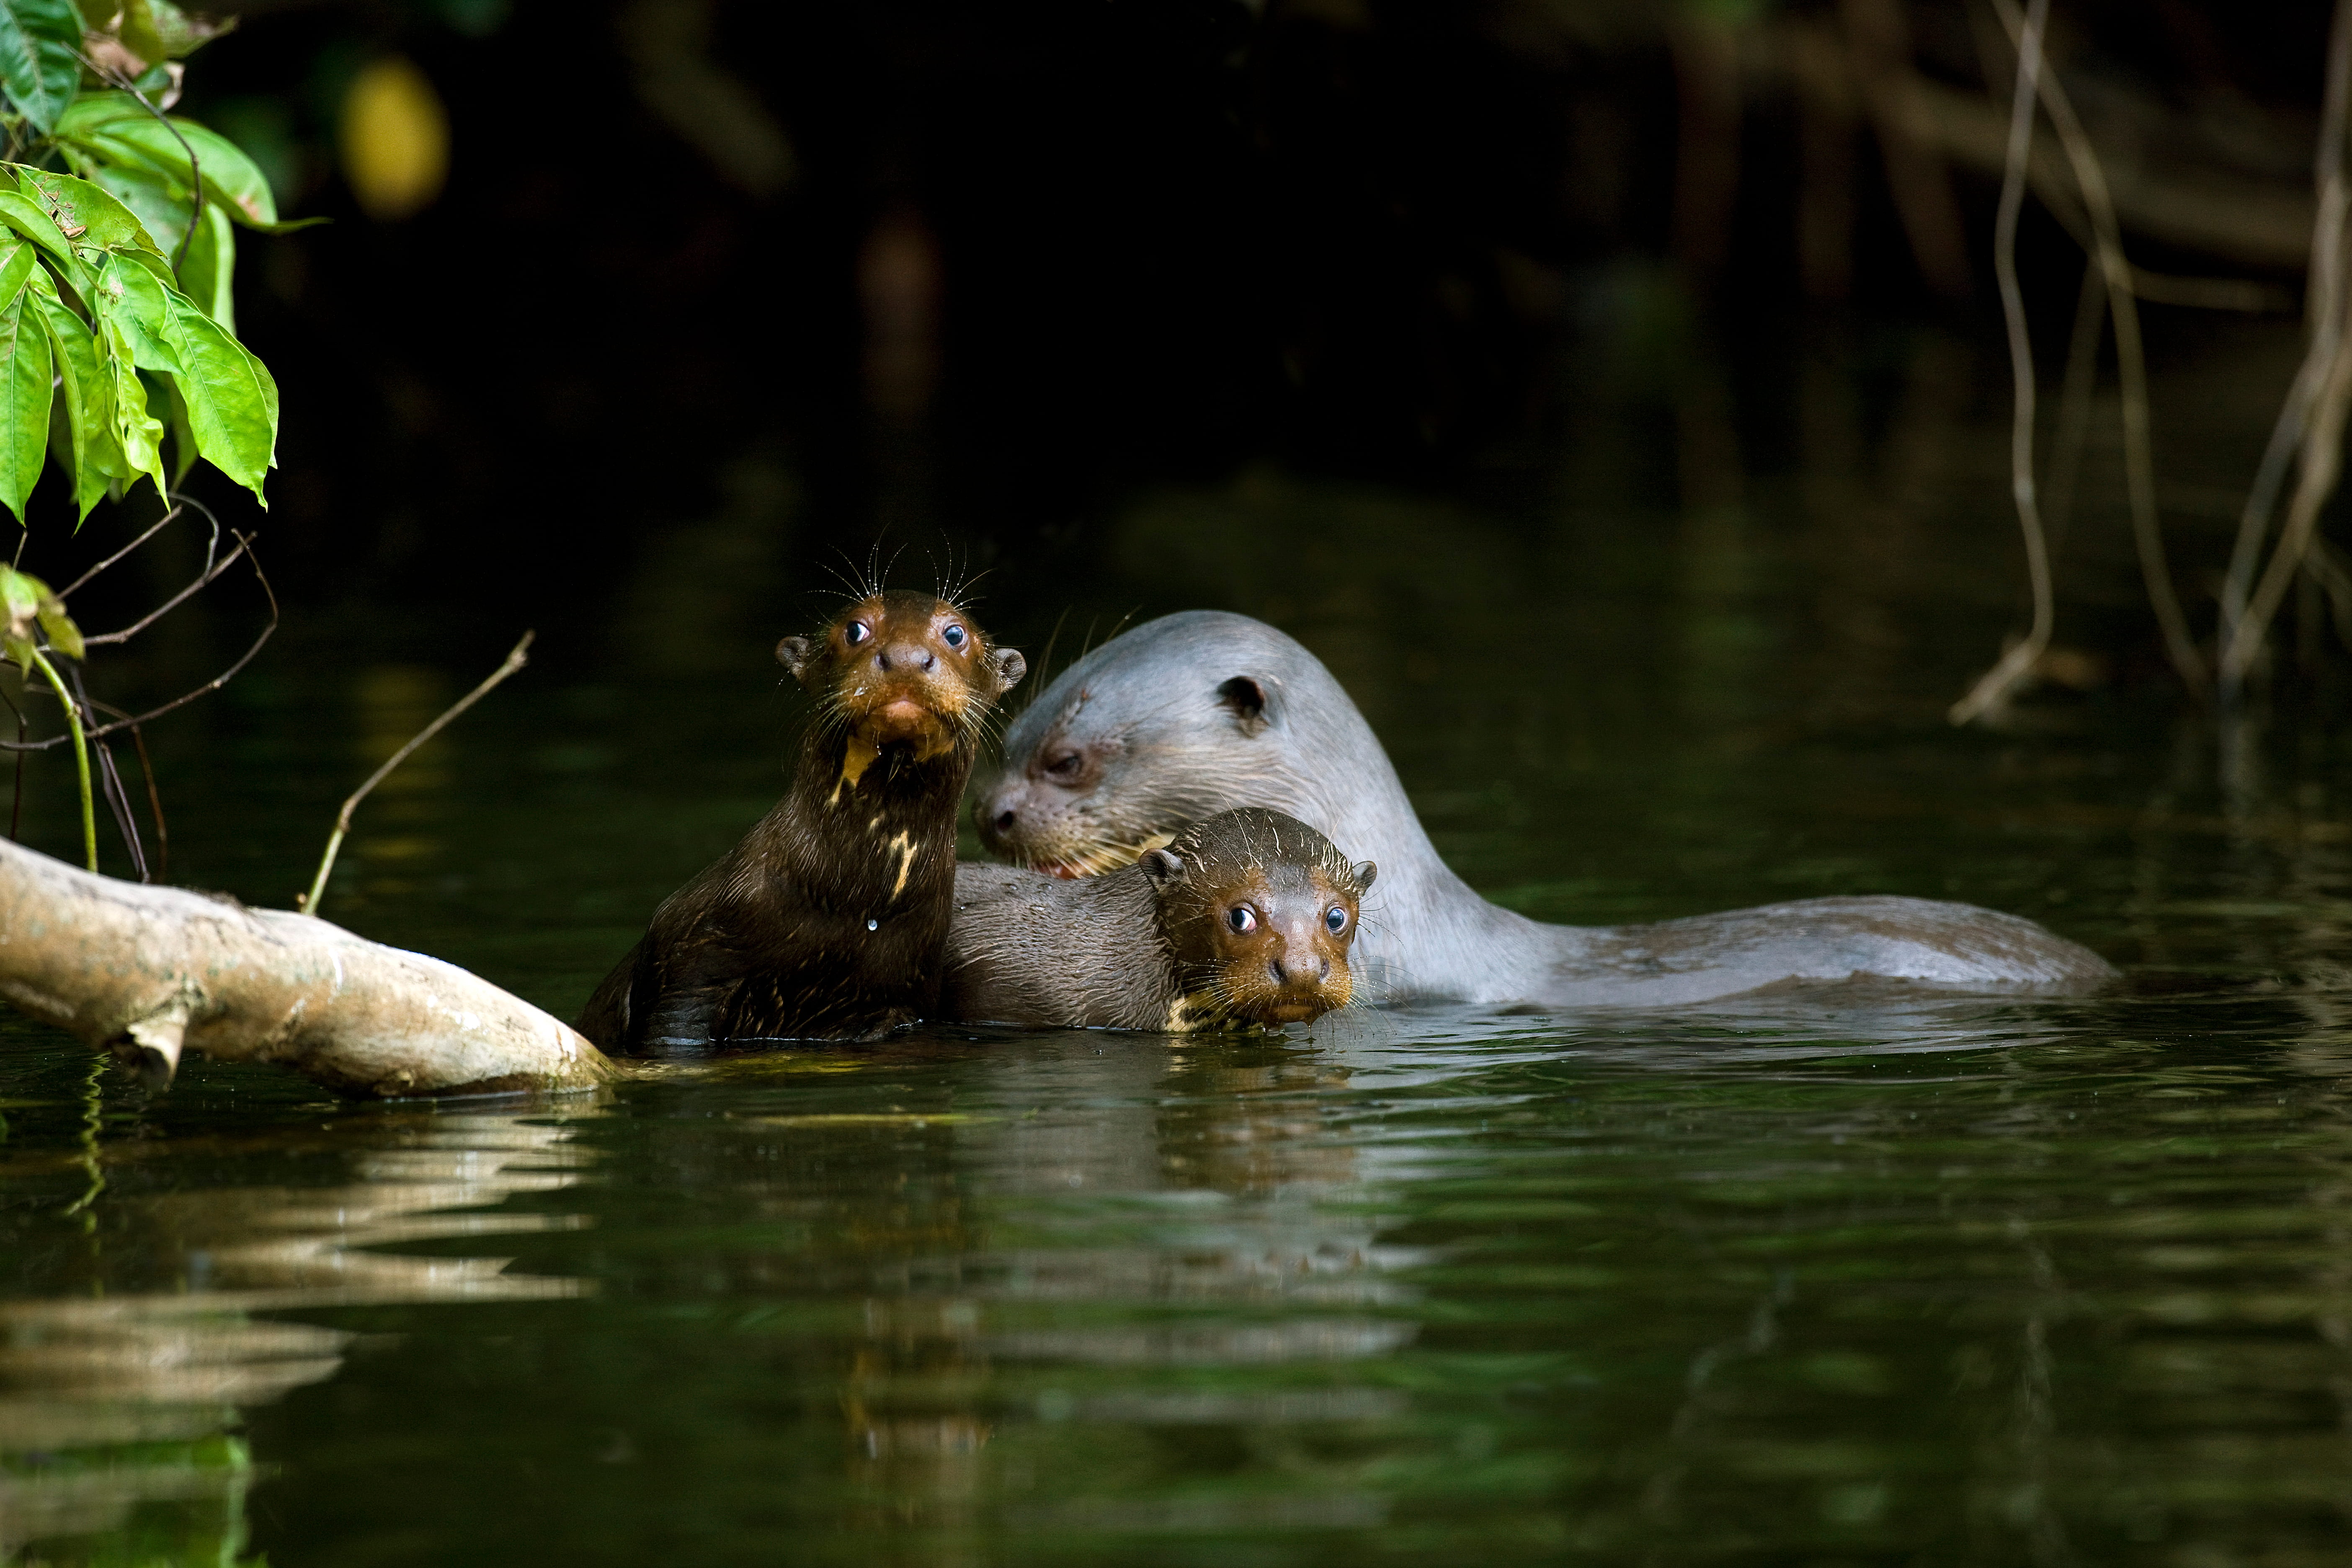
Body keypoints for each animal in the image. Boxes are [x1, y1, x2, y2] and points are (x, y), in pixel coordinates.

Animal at [577, 590, 1025, 1050]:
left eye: (955, 634)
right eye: (855, 629)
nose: (904, 658)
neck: (853, 904)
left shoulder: (905, 996)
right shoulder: (683, 957)